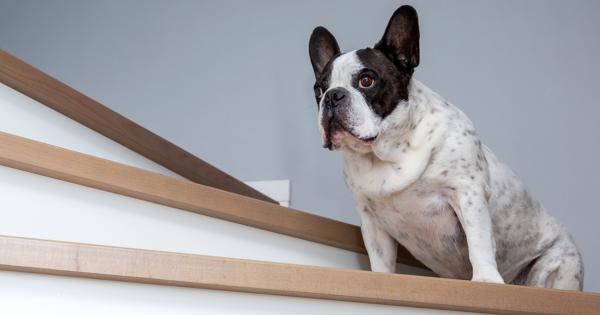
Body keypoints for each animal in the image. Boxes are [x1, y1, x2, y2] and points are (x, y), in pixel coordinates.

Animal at [310, 5, 580, 292]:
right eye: (319, 90)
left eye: (366, 80)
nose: (333, 96)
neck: (387, 152)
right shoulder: (371, 220)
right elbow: (380, 258)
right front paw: (380, 280)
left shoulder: (467, 193)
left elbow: (478, 240)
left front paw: (486, 279)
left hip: (556, 268)